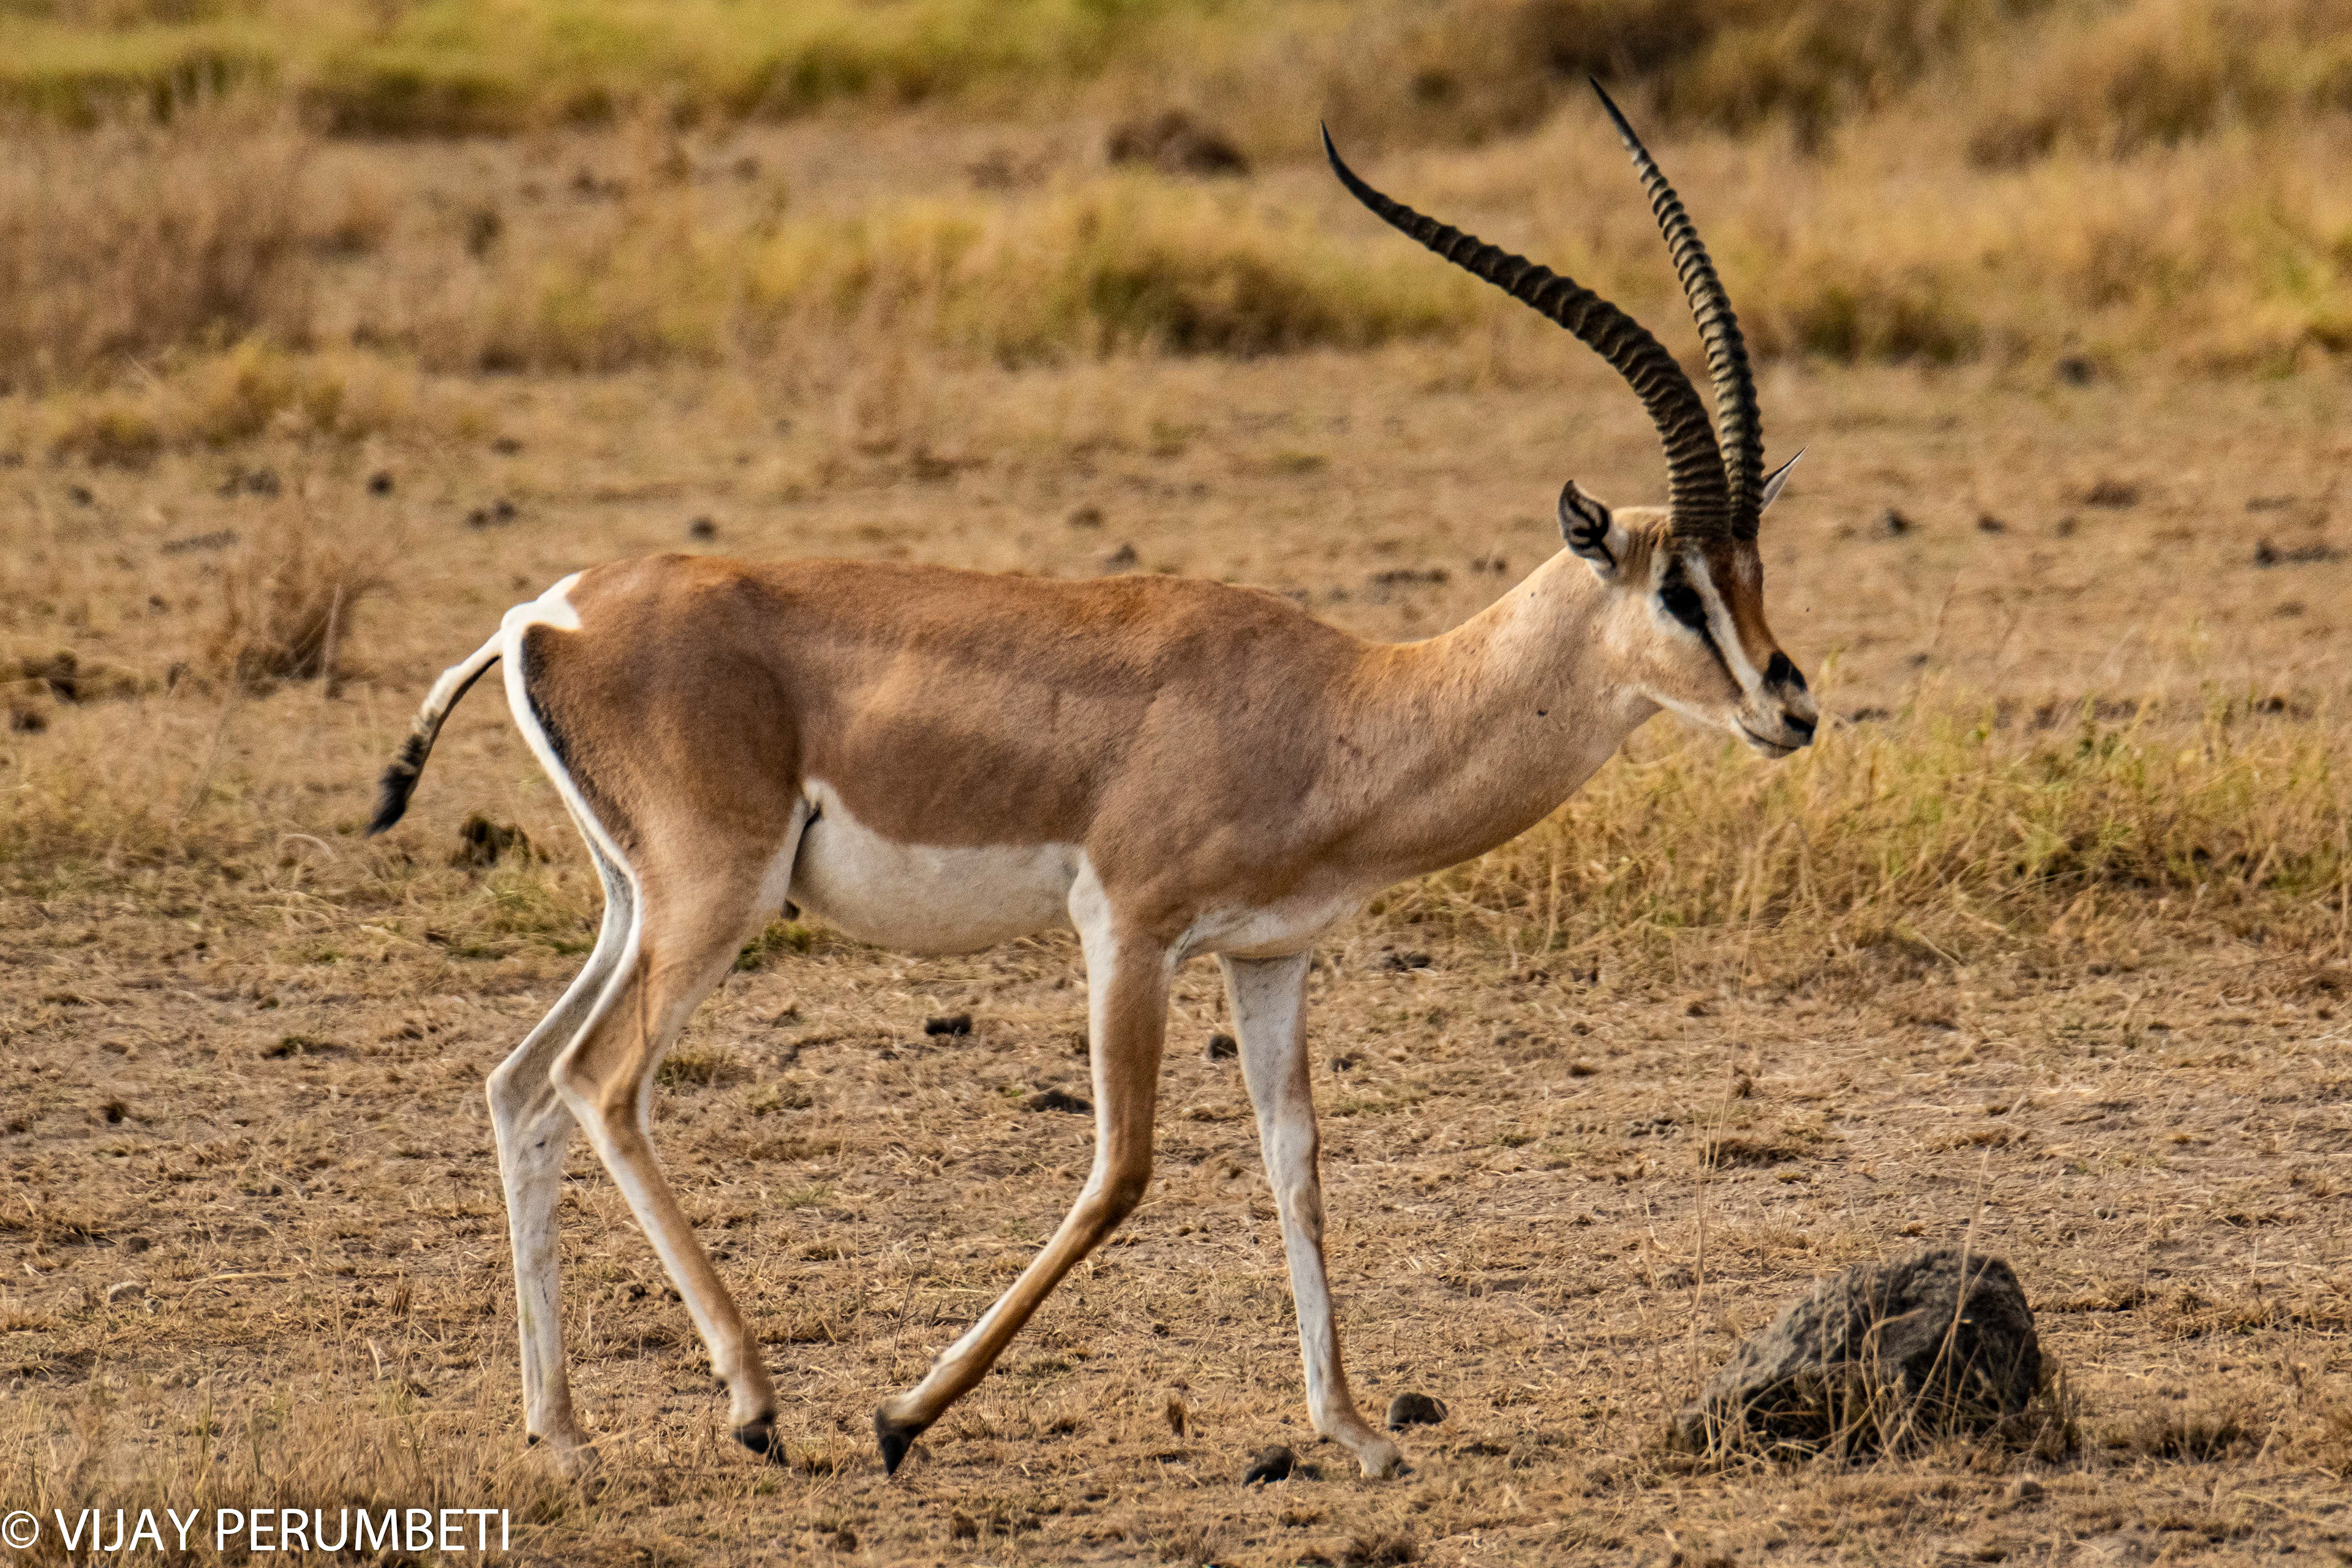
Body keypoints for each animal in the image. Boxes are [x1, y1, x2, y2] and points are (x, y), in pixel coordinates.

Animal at [365, 83, 1816, 1481]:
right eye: (1678, 587)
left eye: (1754, 569)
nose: (1790, 706)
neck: (1340, 706)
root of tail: (545, 613)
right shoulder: (1127, 927)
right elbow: (1123, 1169)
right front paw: (902, 1418)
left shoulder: (1270, 956)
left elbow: (1298, 1164)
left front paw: (1355, 1432)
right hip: (714, 898)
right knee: (602, 1084)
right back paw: (756, 1407)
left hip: (637, 904)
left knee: (520, 1086)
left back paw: (565, 1436)